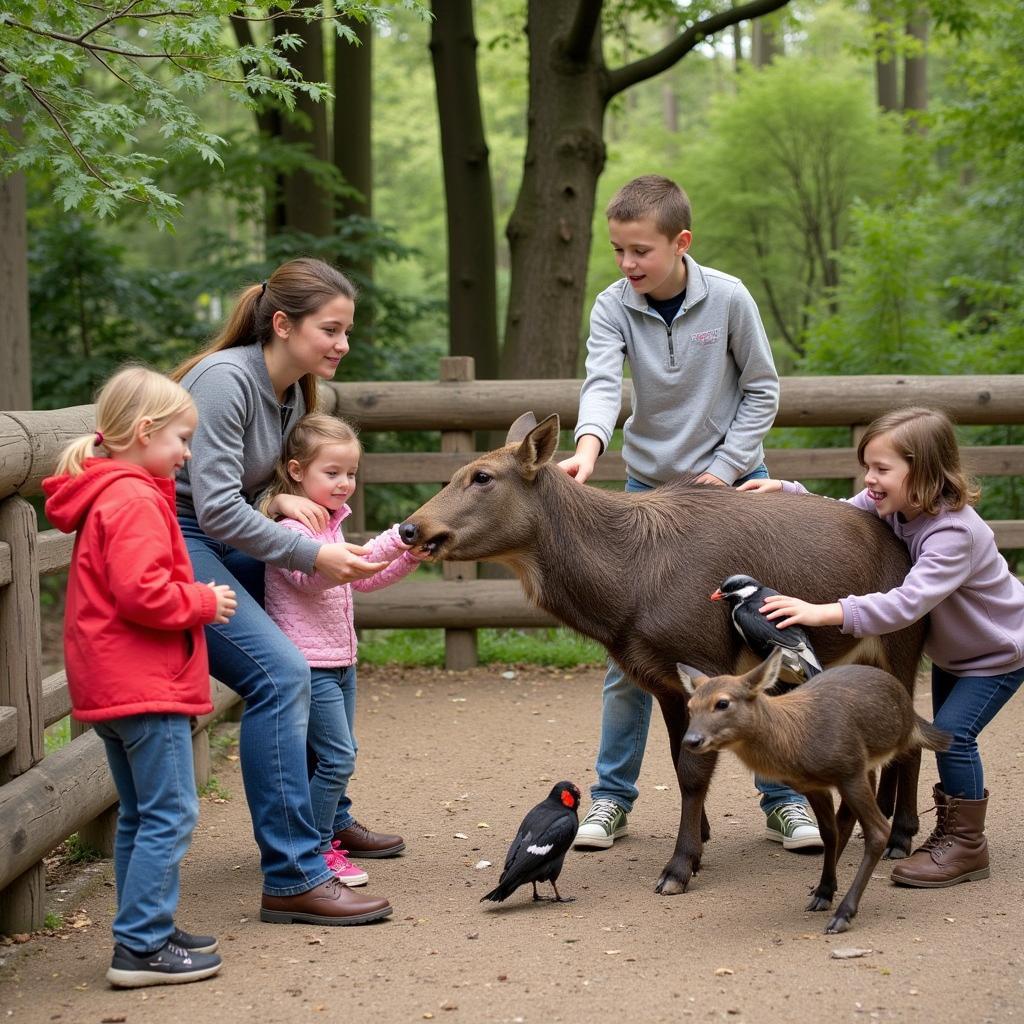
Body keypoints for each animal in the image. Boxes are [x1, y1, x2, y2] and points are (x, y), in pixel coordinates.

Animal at [675, 651, 946, 933]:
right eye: (690, 707)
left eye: (722, 703)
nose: (691, 740)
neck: (797, 743)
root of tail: (910, 715)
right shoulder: (814, 786)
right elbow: (829, 833)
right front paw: (824, 892)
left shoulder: (849, 770)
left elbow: (876, 833)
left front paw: (842, 914)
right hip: (864, 769)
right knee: (845, 821)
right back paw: (821, 888)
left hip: (862, 766)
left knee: (881, 818)